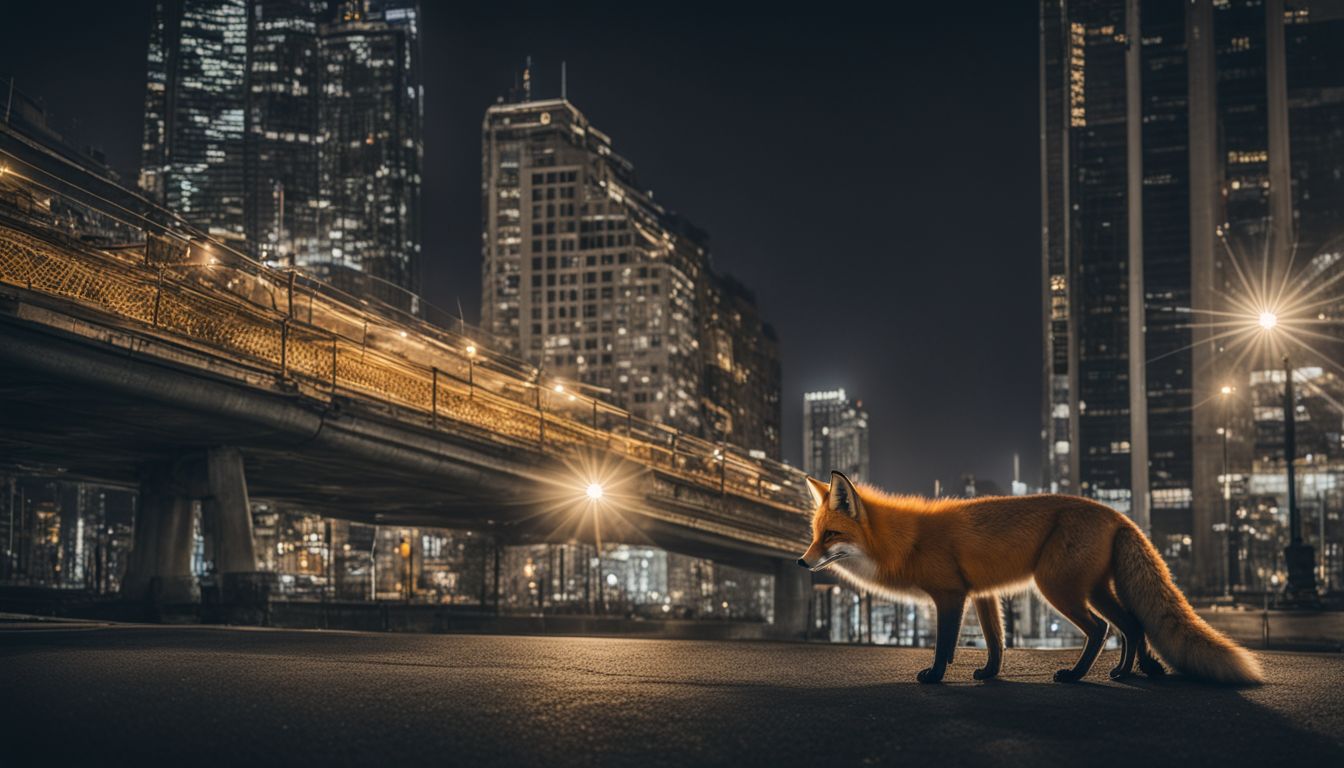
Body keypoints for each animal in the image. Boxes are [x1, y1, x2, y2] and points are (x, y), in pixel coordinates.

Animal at [795, 470, 1257, 688]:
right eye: (815, 535)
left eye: (831, 535)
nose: (802, 561)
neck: (906, 540)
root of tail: (1118, 513)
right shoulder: (983, 594)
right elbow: (996, 642)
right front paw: (989, 673)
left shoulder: (950, 594)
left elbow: (945, 644)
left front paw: (936, 676)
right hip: (1092, 590)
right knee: (1132, 625)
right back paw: (1127, 671)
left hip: (1058, 589)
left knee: (1102, 629)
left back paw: (1076, 675)